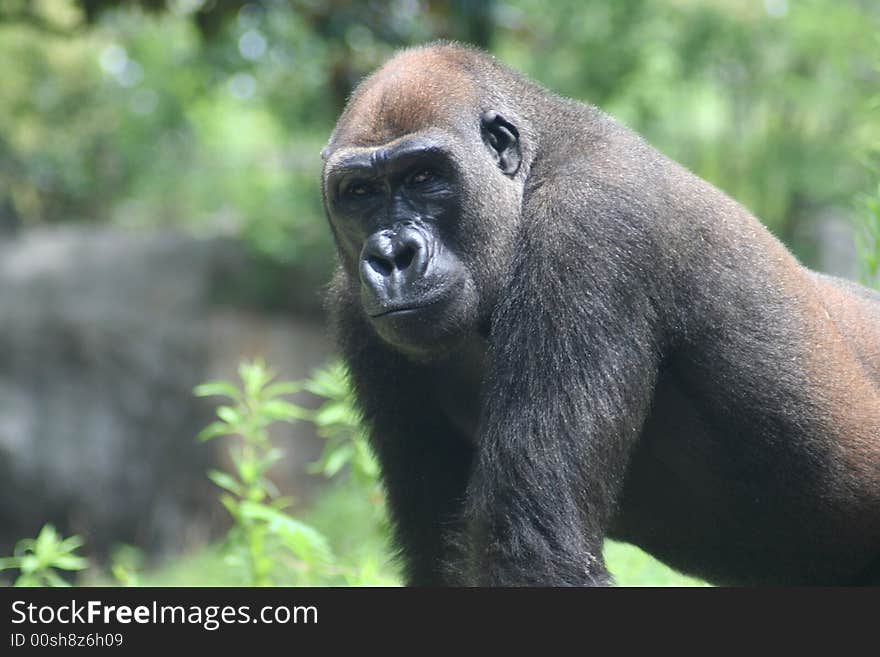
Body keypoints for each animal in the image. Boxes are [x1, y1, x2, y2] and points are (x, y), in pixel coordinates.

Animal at [322, 42, 880, 584]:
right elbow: (438, 557)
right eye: (360, 192)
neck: (534, 167)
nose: (392, 256)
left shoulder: (587, 227)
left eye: (424, 177)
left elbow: (534, 555)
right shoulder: (355, 314)